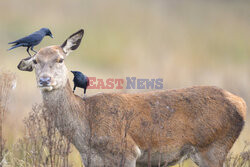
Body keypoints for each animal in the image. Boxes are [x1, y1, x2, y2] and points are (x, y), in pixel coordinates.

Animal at [16, 29, 247, 166]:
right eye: (35, 61)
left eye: (60, 59)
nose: (44, 80)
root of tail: (241, 104)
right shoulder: (90, 160)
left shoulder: (126, 152)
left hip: (213, 147)